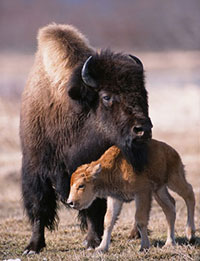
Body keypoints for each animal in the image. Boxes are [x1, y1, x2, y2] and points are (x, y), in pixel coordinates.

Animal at [19, 23, 152, 253]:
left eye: (143, 94)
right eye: (107, 96)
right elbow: (39, 207)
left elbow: (94, 208)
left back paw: (135, 233)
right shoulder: (35, 170)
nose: (142, 129)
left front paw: (91, 241)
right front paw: (33, 246)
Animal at [67, 139, 195, 251]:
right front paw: (101, 248)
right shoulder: (115, 197)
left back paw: (190, 234)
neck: (113, 168)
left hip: (174, 179)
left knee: (189, 194)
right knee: (170, 208)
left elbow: (140, 219)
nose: (70, 202)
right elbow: (108, 220)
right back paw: (169, 243)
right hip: (159, 190)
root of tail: (172, 151)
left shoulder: (142, 193)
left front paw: (144, 246)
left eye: (81, 185)